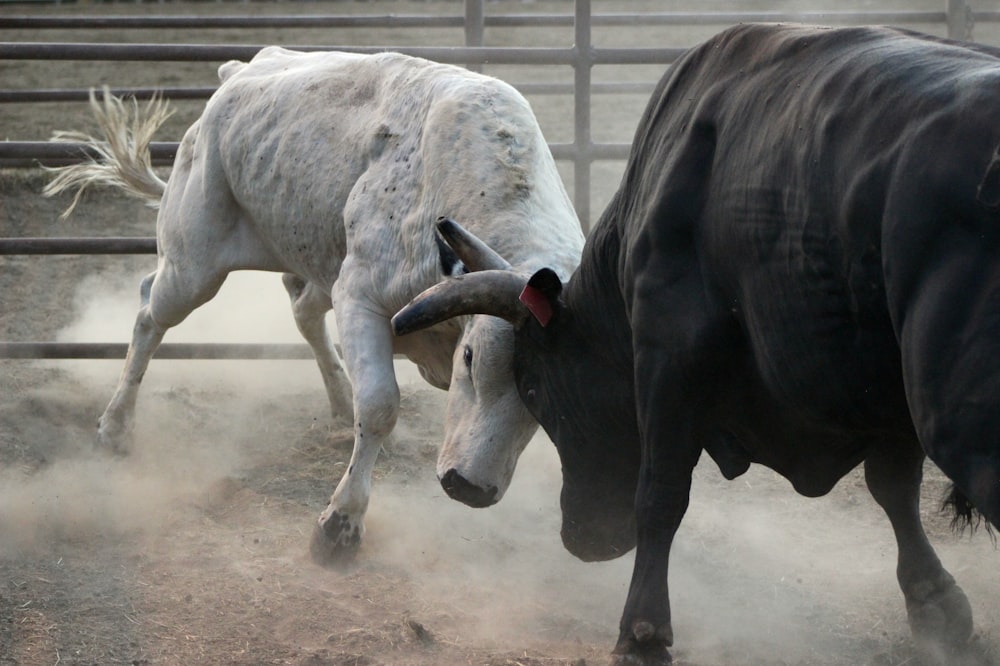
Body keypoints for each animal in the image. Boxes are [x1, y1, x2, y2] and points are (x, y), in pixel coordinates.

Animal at [47, 46, 584, 564]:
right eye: (470, 358)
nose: (468, 487)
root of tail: (238, 73)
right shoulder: (360, 297)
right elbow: (381, 406)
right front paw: (340, 524)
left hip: (314, 263)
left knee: (303, 312)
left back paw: (339, 400)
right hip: (192, 267)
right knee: (148, 313)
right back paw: (116, 427)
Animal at [390, 23, 1000, 660]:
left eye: (532, 390)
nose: (581, 536)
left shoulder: (668, 360)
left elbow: (661, 494)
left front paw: (642, 631)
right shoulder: (880, 390)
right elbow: (894, 487)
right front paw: (935, 604)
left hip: (957, 415)